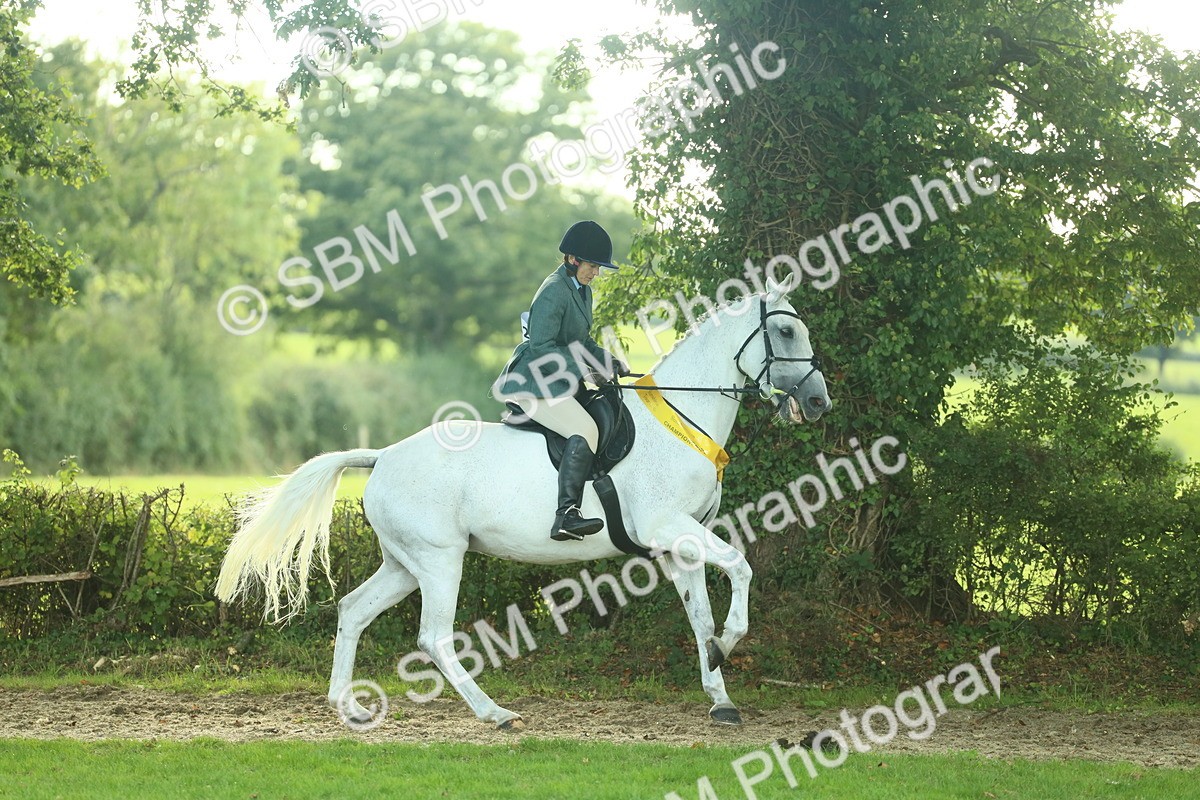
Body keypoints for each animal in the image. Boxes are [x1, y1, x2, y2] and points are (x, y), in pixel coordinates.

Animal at [215, 274, 831, 729]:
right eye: (783, 331)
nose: (819, 402)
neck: (682, 420)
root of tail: (384, 455)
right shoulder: (668, 525)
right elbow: (741, 567)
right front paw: (728, 645)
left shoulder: (680, 542)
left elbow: (701, 615)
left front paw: (720, 692)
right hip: (440, 561)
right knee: (433, 635)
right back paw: (495, 714)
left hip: (405, 563)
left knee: (353, 610)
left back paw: (349, 707)